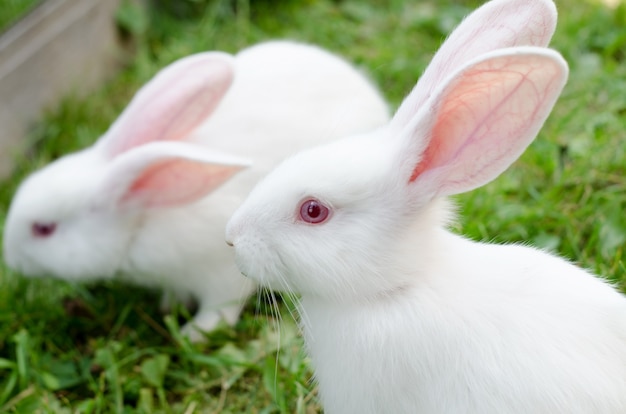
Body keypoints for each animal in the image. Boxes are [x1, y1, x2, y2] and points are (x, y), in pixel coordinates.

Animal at [2, 40, 388, 342]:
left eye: (43, 229)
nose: (12, 260)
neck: (142, 218)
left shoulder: (221, 272)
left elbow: (220, 306)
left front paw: (195, 333)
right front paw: (170, 305)